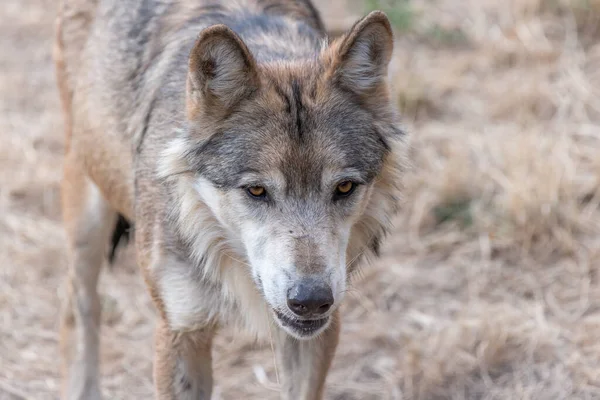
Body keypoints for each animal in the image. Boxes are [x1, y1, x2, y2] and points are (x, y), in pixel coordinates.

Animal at [54, 0, 408, 398]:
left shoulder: (317, 332)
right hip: (86, 208)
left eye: (344, 188)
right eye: (256, 191)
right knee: (77, 304)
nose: (311, 299)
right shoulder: (180, 328)